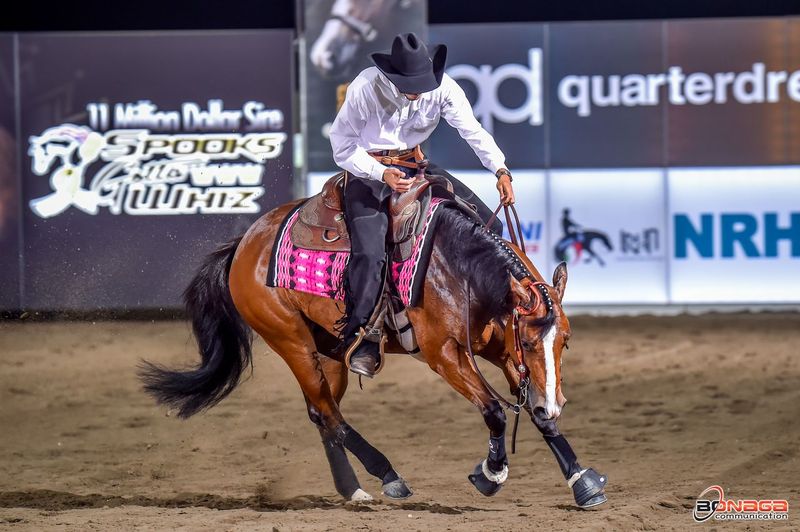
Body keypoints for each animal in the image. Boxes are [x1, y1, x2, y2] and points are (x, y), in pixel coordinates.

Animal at [139, 196, 608, 508]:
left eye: (565, 341)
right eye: (529, 341)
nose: (557, 403)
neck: (458, 269)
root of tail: (244, 244)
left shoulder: (498, 348)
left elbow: (535, 411)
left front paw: (582, 482)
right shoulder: (443, 354)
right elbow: (494, 410)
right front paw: (490, 474)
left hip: (332, 351)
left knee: (322, 412)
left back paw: (352, 488)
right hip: (291, 341)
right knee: (329, 414)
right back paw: (387, 477)